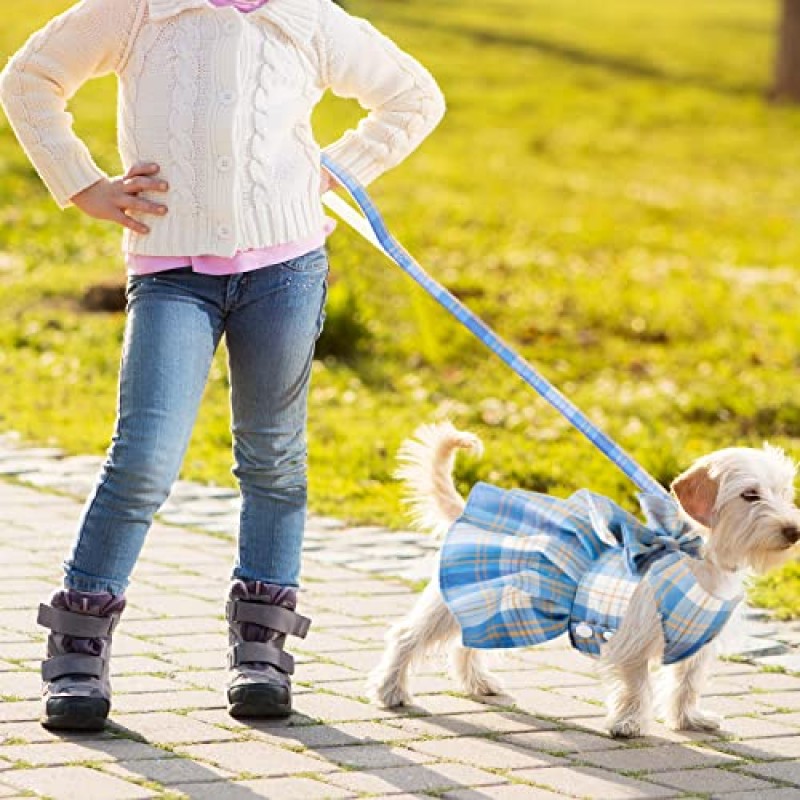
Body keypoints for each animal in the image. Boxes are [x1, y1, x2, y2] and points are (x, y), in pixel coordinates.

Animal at [368, 422, 800, 740]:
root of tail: (467, 511)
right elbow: (636, 684)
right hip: (451, 603)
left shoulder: (697, 644)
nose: (793, 530)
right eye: (749, 495)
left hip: (494, 607)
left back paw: (478, 685)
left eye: (783, 493)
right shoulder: (629, 639)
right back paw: (390, 691)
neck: (699, 559)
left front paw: (688, 720)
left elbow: (686, 683)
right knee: (406, 636)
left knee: (465, 644)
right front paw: (628, 723)